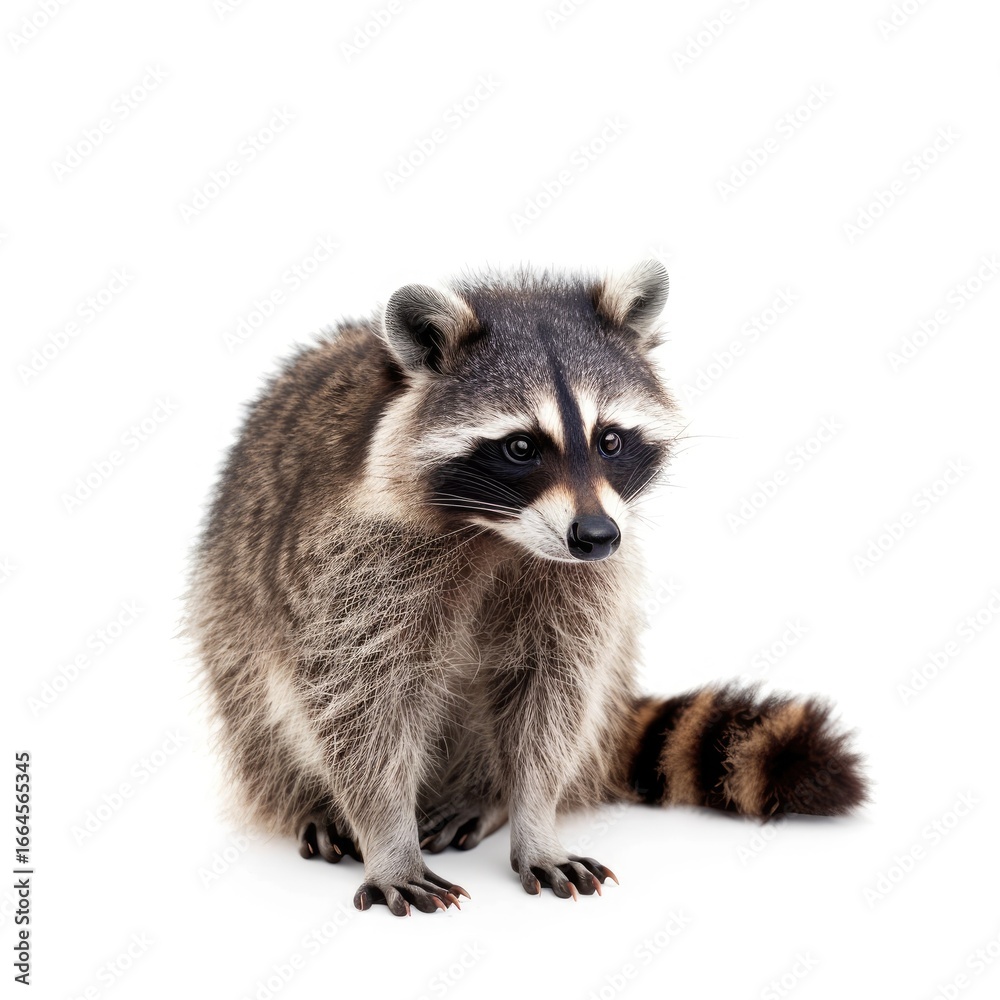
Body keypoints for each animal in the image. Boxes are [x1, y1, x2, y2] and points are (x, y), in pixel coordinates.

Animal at [188, 261, 867, 916]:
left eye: (610, 439)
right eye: (520, 447)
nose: (596, 535)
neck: (499, 532)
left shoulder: (586, 576)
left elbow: (553, 690)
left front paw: (534, 816)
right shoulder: (358, 559)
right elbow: (359, 699)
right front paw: (387, 837)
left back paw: (484, 794)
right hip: (231, 623)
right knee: (259, 703)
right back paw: (312, 800)